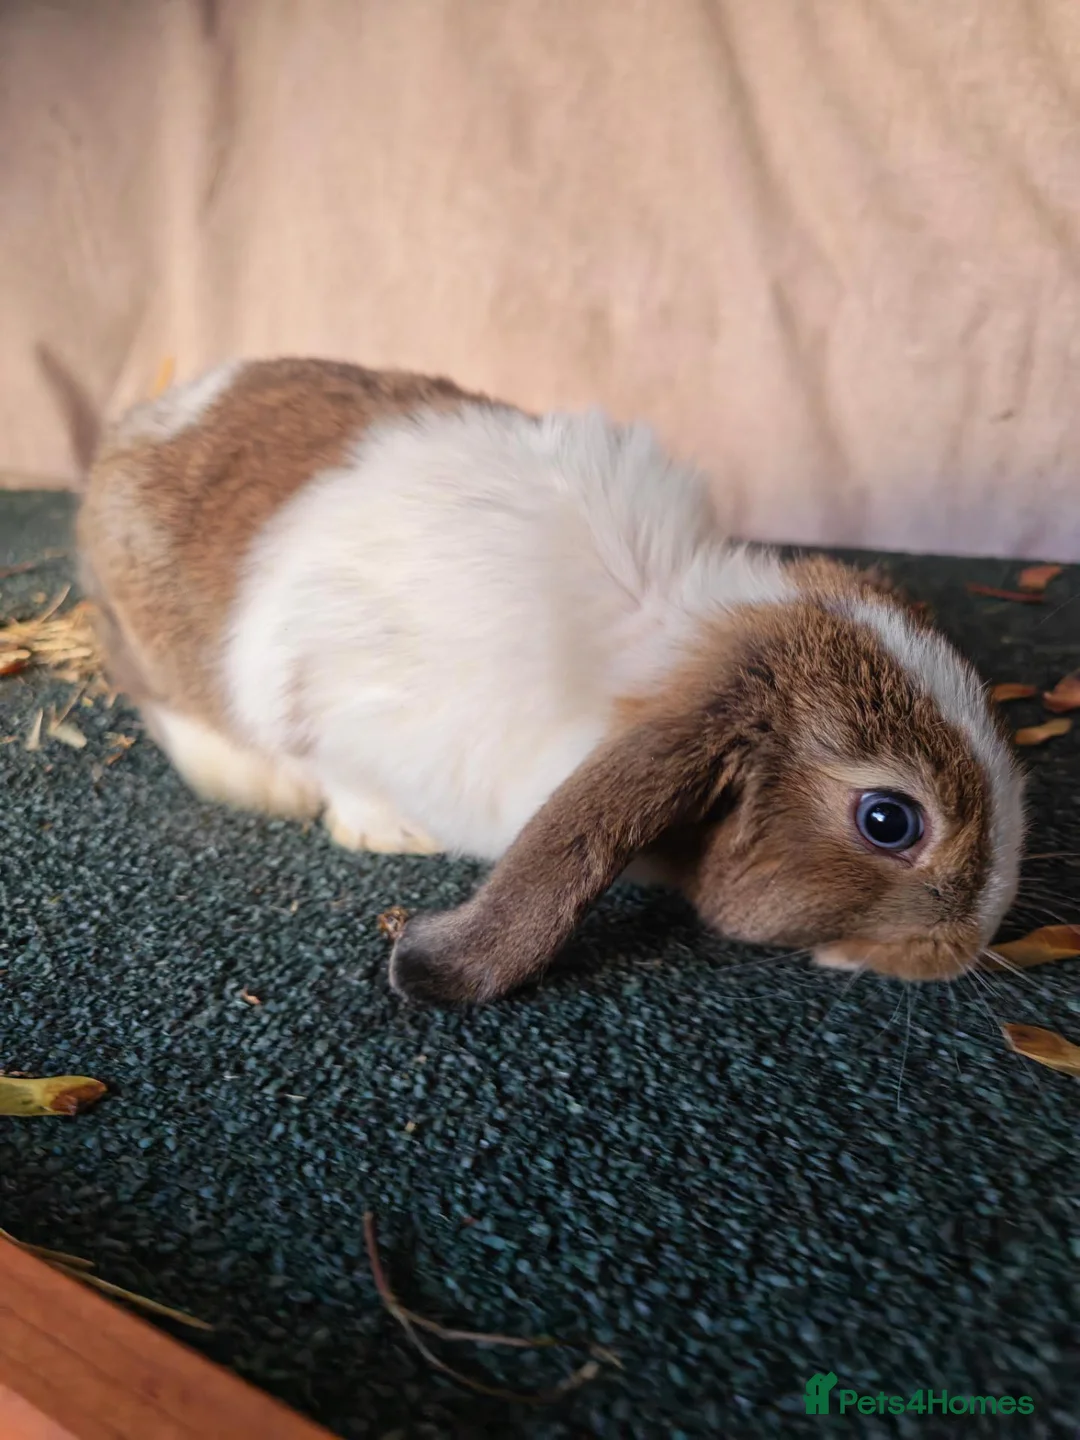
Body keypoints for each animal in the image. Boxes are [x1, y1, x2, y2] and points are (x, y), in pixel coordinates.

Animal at [79, 357, 1025, 1004]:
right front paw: (388, 831)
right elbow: (336, 768)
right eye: (889, 820)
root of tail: (139, 424)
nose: (977, 936)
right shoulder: (326, 700)